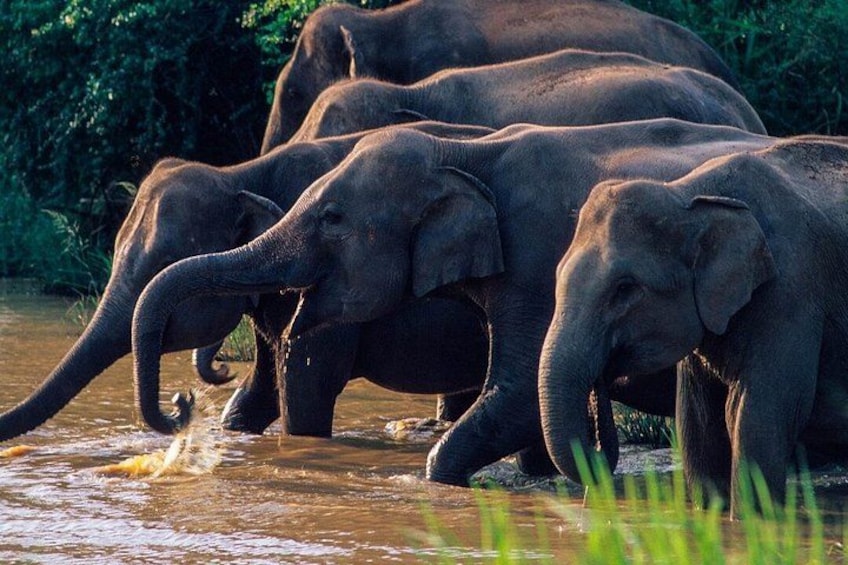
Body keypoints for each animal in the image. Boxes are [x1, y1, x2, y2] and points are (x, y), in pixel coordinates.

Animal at [538, 136, 848, 516]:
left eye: (625, 288)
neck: (689, 195)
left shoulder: (792, 292)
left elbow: (757, 416)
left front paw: (754, 522)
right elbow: (698, 424)